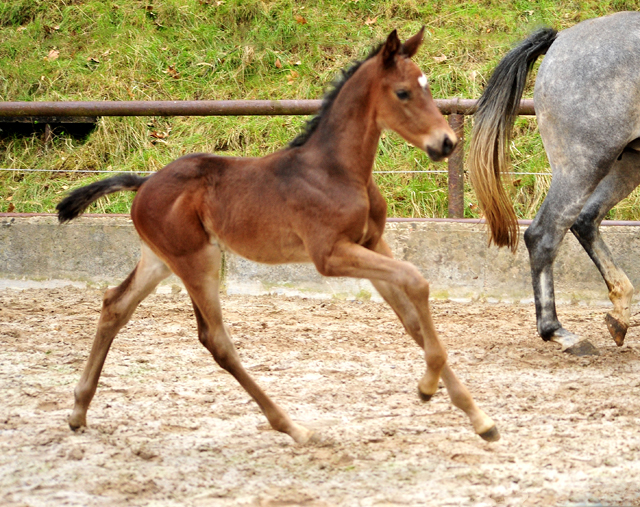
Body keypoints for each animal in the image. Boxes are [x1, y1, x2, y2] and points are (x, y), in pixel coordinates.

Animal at [58, 28, 500, 444]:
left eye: (428, 87)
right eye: (403, 92)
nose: (446, 143)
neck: (336, 171)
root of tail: (144, 183)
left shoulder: (371, 242)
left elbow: (411, 319)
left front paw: (479, 418)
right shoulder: (330, 255)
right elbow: (417, 280)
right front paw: (426, 387)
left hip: (161, 260)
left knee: (115, 305)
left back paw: (78, 410)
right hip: (197, 261)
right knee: (216, 339)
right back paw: (292, 427)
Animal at [464, 11, 640, 354]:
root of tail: (561, 40)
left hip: (628, 161)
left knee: (585, 219)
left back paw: (619, 315)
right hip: (584, 162)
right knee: (544, 234)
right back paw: (558, 332)